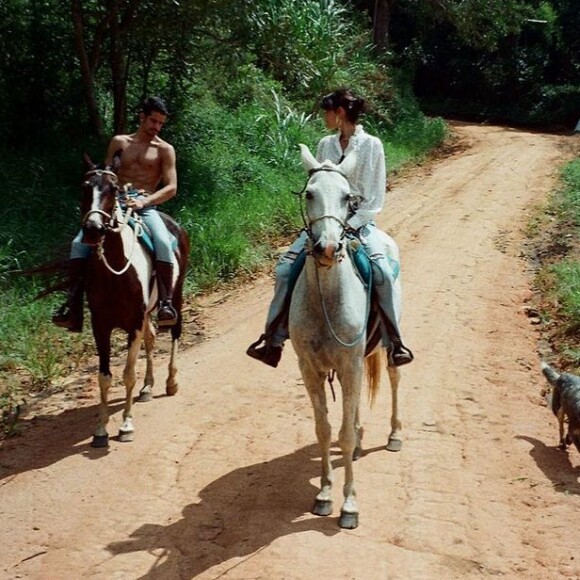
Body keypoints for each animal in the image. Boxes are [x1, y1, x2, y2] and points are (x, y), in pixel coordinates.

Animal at [80, 155, 190, 448]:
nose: (93, 230)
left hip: (175, 294)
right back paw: (148, 386)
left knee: (174, 332)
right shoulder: (101, 325)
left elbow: (128, 374)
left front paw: (126, 425)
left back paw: (171, 381)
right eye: (85, 188)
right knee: (151, 338)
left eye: (113, 189)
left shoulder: (133, 323)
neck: (115, 271)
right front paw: (100, 430)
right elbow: (104, 377)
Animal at [288, 145, 402, 532]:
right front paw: (324, 494)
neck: (326, 299)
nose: (326, 248)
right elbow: (325, 430)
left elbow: (345, 434)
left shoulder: (351, 364)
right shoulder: (310, 369)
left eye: (346, 197)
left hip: (387, 345)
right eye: (309, 194)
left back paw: (395, 435)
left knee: (394, 379)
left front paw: (349, 504)